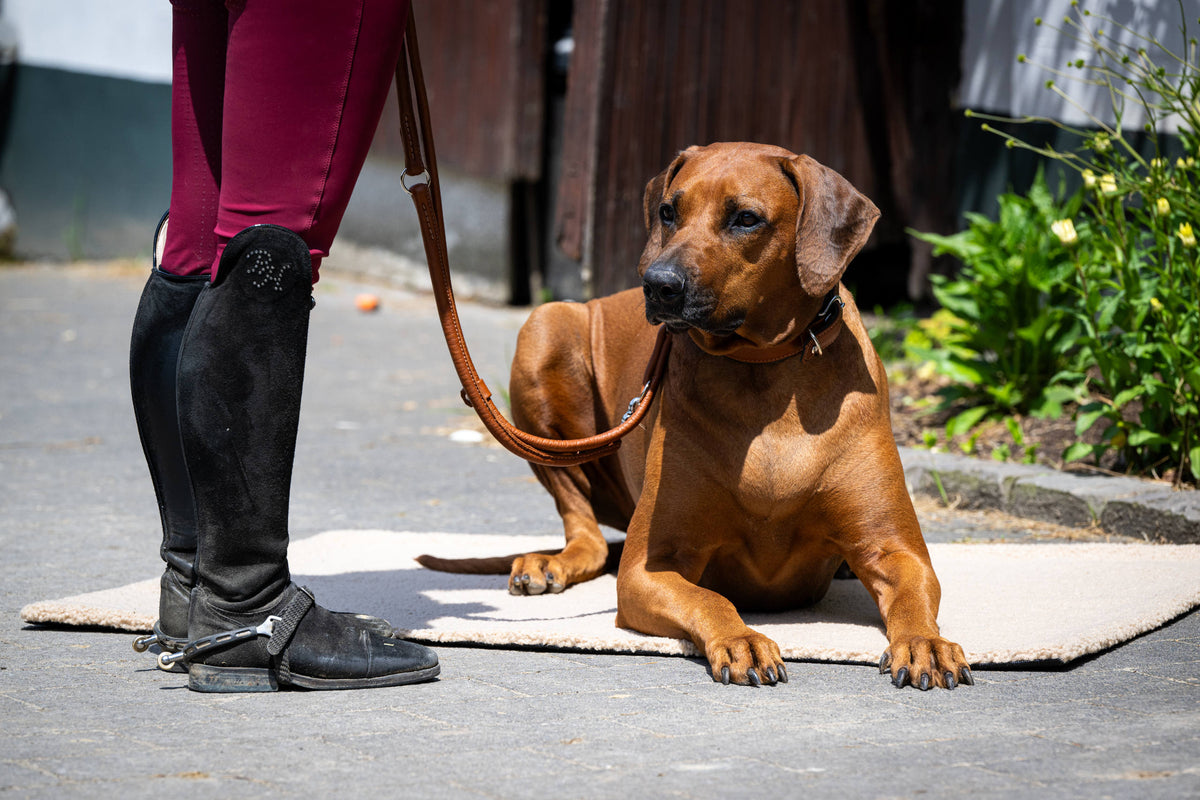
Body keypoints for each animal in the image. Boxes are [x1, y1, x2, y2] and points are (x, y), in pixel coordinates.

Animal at [417, 142, 969, 690]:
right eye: (668, 211)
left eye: (746, 218)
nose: (657, 284)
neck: (763, 368)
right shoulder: (647, 569)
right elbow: (710, 596)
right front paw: (743, 638)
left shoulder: (897, 551)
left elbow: (914, 592)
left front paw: (926, 642)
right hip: (545, 327)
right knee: (586, 533)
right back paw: (551, 562)